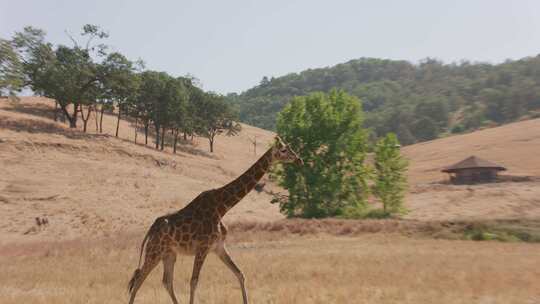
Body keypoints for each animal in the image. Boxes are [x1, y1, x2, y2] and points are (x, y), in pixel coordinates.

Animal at [128, 136, 302, 304]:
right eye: (284, 150)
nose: (299, 160)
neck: (222, 208)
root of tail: (151, 230)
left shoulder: (218, 247)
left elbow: (240, 274)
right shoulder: (203, 247)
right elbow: (194, 281)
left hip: (169, 254)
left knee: (166, 281)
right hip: (154, 252)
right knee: (138, 281)